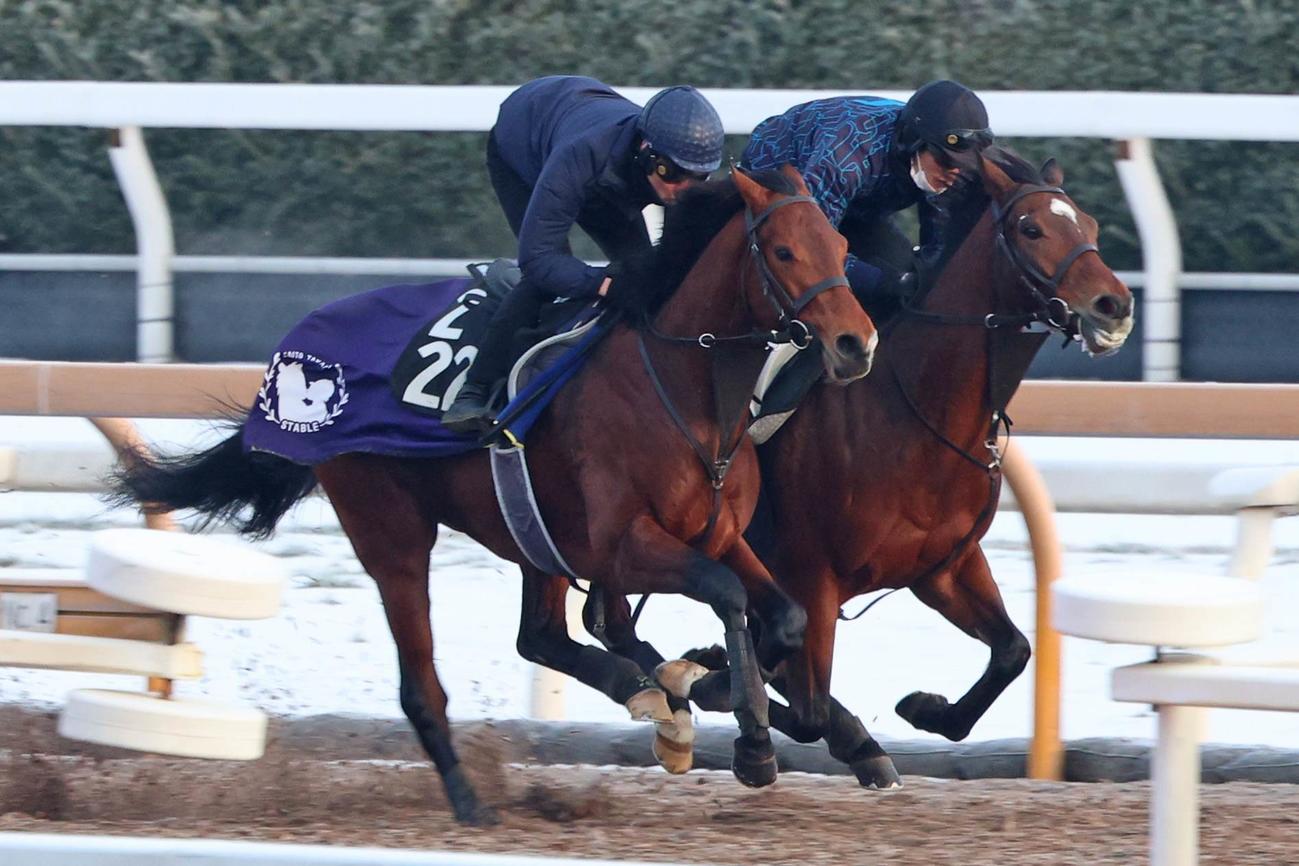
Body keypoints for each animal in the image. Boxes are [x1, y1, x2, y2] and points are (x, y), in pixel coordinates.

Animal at [110, 165, 879, 824]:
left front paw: (709, 687)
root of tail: (291, 352)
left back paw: (653, 694)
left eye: (841, 245)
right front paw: (749, 742)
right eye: (783, 250)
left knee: (543, 635)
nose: (855, 344)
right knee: (423, 680)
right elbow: (726, 593)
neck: (686, 391)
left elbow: (778, 613)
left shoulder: (712, 533)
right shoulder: (624, 545)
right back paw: (472, 797)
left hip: (530, 532)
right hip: (392, 531)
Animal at [519, 147, 1135, 785]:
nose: (1115, 306)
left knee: (606, 620)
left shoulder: (943, 568)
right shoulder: (812, 575)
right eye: (1031, 228)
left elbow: (1012, 651)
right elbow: (806, 704)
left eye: (1089, 227)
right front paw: (715, 679)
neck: (911, 408)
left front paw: (925, 709)